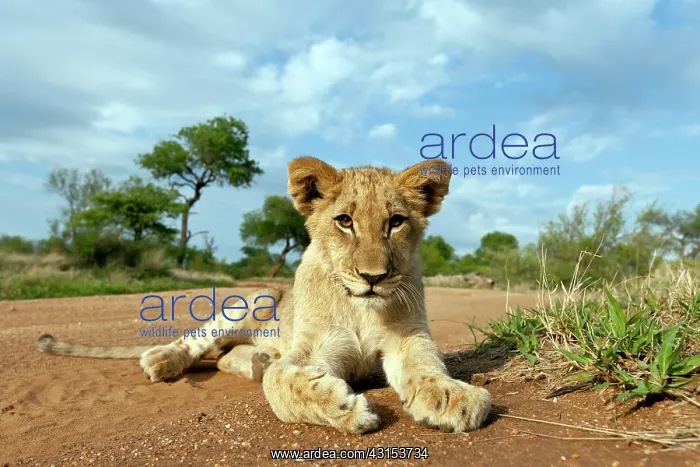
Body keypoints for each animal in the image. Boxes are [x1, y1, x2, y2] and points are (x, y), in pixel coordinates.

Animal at [37, 157, 492, 434]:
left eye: (396, 222)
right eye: (344, 221)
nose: (373, 277)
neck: (361, 306)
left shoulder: (409, 337)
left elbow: (426, 365)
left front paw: (450, 396)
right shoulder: (312, 347)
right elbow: (281, 382)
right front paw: (342, 407)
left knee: (225, 358)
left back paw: (256, 360)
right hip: (250, 300)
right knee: (200, 344)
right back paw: (163, 360)